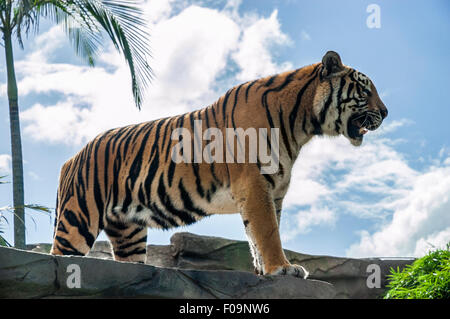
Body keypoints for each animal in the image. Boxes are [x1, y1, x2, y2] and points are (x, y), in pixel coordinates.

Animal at [50, 51, 386, 278]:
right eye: (365, 90)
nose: (386, 112)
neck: (301, 123)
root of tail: (72, 157)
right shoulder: (255, 183)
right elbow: (268, 232)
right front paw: (283, 268)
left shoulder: (273, 190)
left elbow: (259, 234)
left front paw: (266, 271)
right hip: (78, 218)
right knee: (59, 255)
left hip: (128, 233)